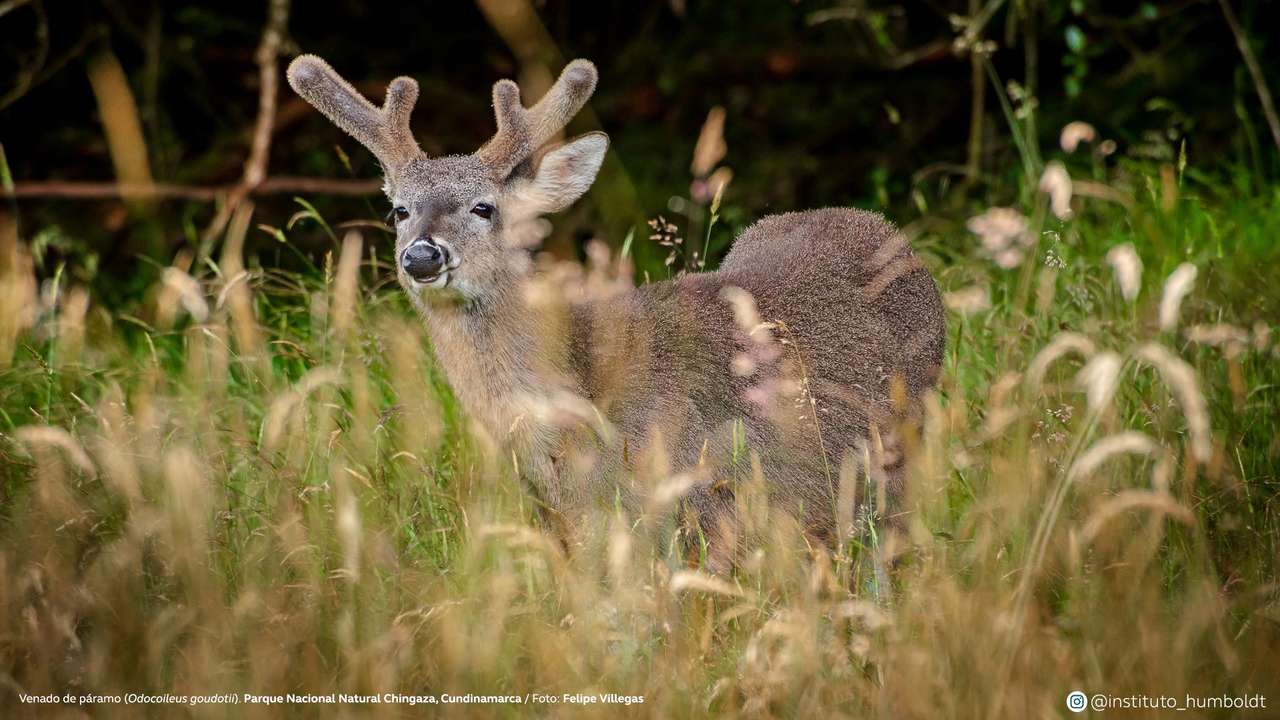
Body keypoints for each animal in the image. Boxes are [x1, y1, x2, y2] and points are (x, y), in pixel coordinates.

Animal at [290, 53, 952, 566]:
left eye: (484, 207)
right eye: (398, 210)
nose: (422, 255)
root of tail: (884, 228)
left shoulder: (702, 498)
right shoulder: (570, 523)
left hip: (902, 441)